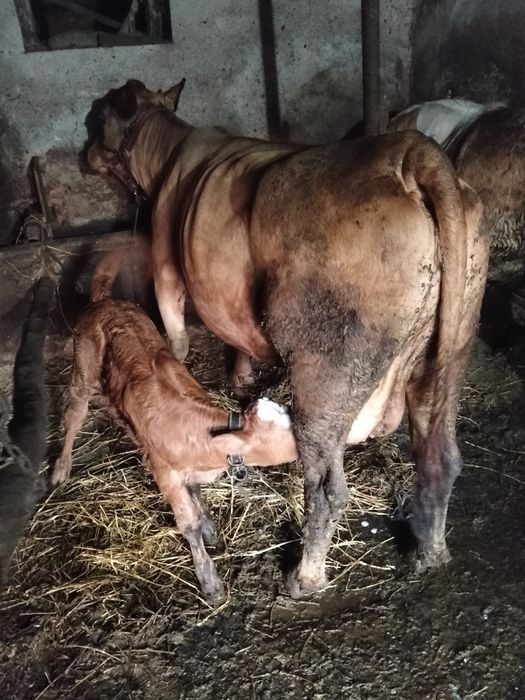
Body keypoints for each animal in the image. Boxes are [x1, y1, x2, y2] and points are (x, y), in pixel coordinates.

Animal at [51, 246, 298, 603]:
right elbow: (188, 524)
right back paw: (61, 468)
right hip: (82, 373)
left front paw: (210, 528)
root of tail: (105, 302)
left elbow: (197, 497)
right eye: (288, 434)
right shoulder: (164, 472)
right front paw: (209, 581)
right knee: (72, 417)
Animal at [83, 79, 488, 599]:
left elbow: (175, 335)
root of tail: (408, 151)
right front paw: (239, 379)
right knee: (440, 457)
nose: (84, 155)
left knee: (327, 488)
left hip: (326, 367)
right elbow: (233, 332)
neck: (168, 154)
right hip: (449, 350)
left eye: (99, 119)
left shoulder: (167, 271)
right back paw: (429, 554)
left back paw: (304, 577)